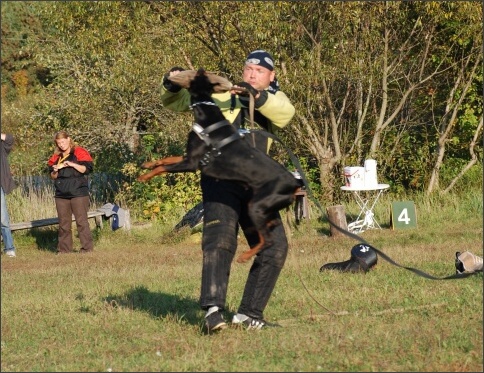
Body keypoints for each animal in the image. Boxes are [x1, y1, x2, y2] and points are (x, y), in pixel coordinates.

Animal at [138, 68, 300, 264]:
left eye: (198, 75)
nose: (198, 69)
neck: (208, 113)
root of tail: (295, 184)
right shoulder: (190, 156)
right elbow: (166, 159)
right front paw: (147, 164)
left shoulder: (191, 163)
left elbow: (163, 168)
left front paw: (144, 176)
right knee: (271, 225)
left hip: (257, 205)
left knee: (268, 239)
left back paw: (245, 256)